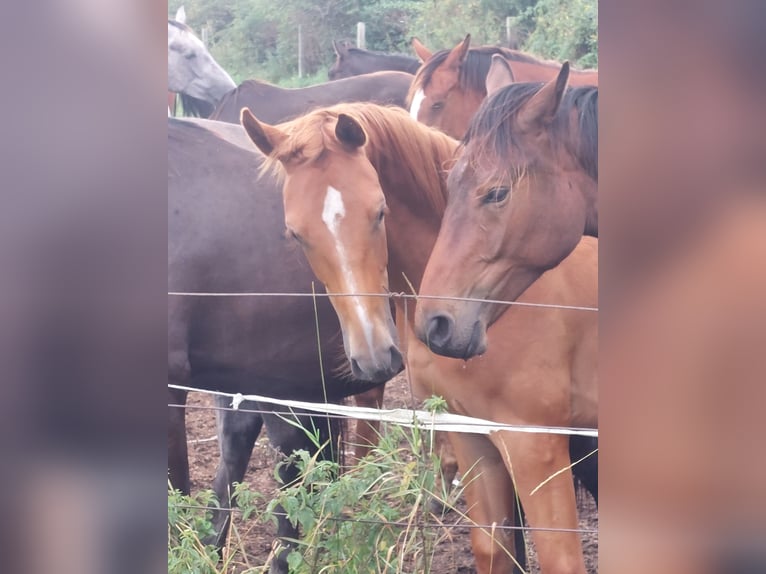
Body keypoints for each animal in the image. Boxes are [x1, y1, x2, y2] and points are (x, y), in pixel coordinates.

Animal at [240, 102, 598, 574]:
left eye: (379, 212)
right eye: (295, 234)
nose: (373, 355)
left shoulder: (534, 446)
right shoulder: (470, 434)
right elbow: (493, 548)